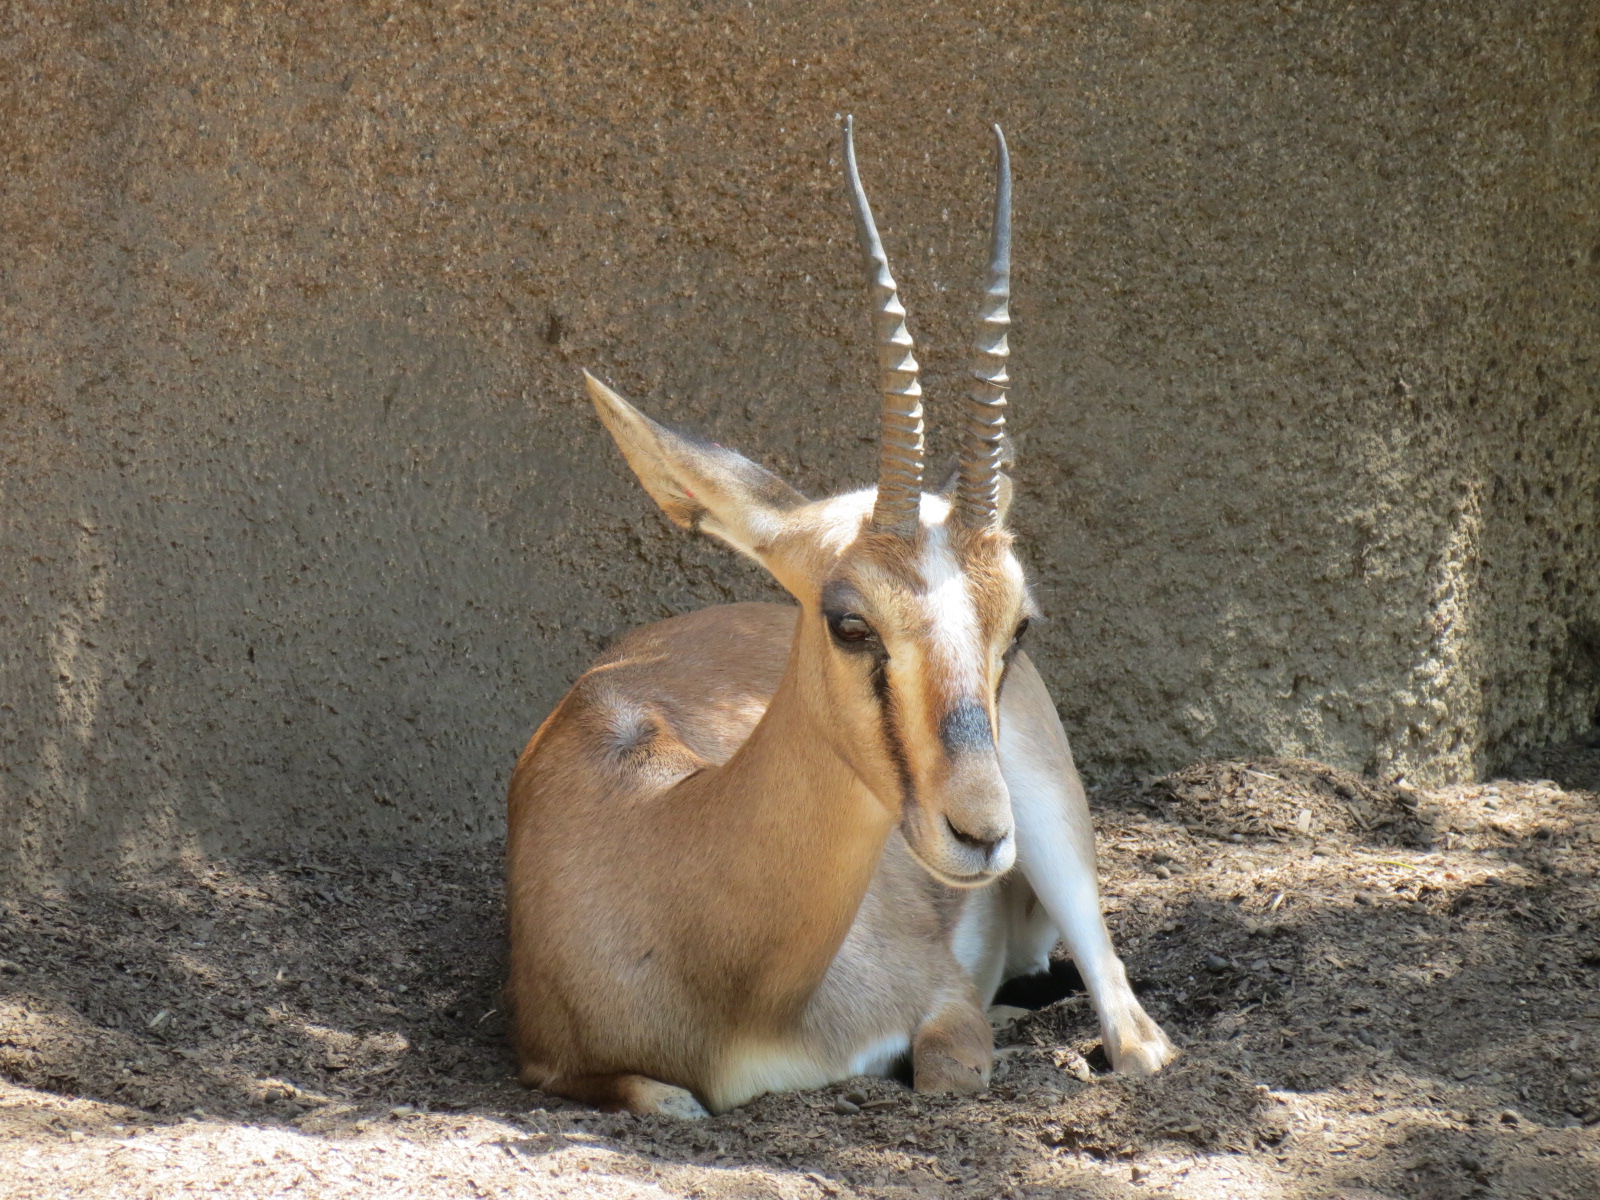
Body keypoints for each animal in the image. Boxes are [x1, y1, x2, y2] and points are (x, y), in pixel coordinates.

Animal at [505, 117, 1176, 1118]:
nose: (979, 834)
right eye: (849, 622)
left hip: (1054, 823)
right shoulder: (550, 1064)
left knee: (1137, 1038)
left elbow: (948, 1072)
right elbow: (668, 1099)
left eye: (1018, 626)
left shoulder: (942, 1003)